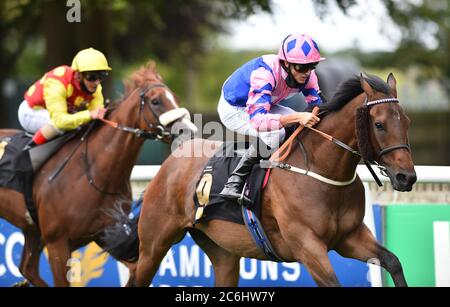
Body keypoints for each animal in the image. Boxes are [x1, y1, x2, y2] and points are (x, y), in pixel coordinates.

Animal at [0, 61, 197, 288]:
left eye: (176, 98)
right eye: (156, 101)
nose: (188, 130)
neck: (94, 175)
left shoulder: (107, 234)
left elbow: (135, 271)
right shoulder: (57, 243)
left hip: (32, 230)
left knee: (27, 268)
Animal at [133, 73, 414, 288]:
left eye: (407, 122)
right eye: (379, 124)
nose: (407, 177)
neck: (321, 171)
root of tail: (173, 159)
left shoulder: (350, 237)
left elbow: (394, 262)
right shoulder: (307, 246)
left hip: (222, 253)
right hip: (153, 246)